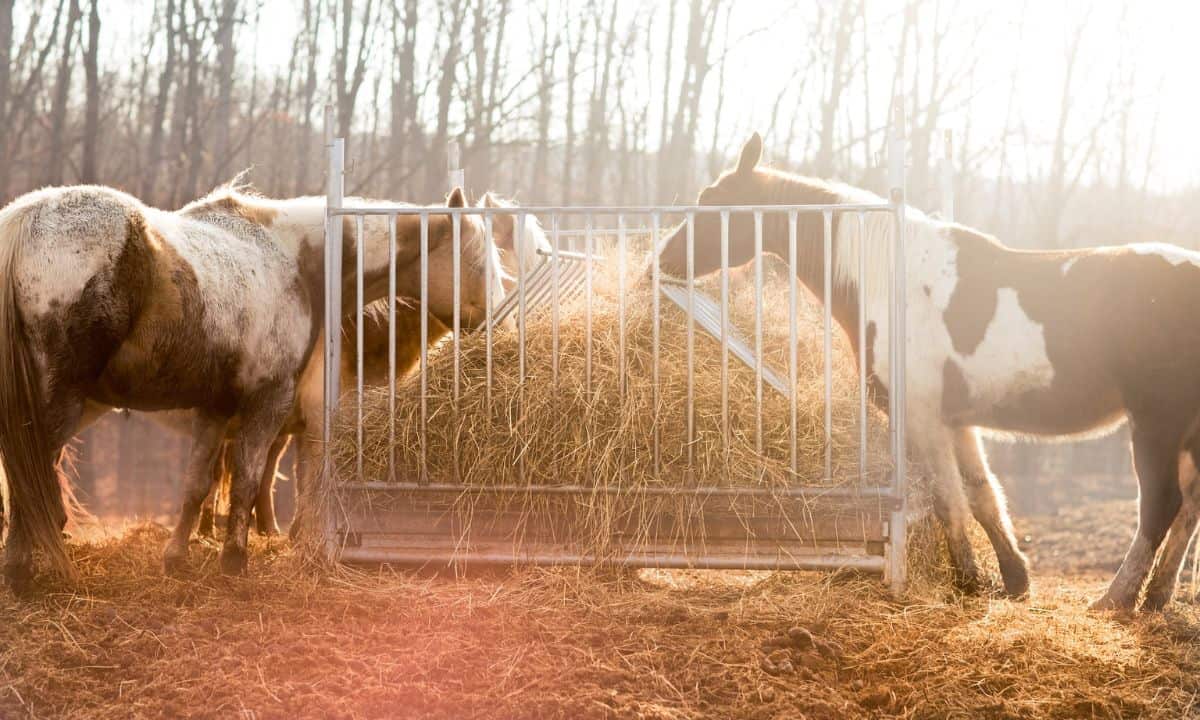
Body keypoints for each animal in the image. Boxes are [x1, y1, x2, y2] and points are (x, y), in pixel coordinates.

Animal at [0, 182, 498, 589]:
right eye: (476, 262)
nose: (495, 323)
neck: (296, 261)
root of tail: (25, 221)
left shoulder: (216, 409)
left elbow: (196, 485)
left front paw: (176, 558)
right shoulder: (269, 403)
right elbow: (248, 479)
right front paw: (235, 560)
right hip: (61, 404)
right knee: (30, 477)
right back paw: (22, 567)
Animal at [656, 133, 1200, 612]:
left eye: (711, 201)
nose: (663, 258)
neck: (890, 281)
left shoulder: (922, 418)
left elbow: (948, 501)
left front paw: (969, 579)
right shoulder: (958, 423)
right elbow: (982, 497)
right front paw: (1014, 579)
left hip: (1156, 423)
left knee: (1160, 506)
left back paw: (1117, 599)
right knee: (1190, 506)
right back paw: (1156, 597)